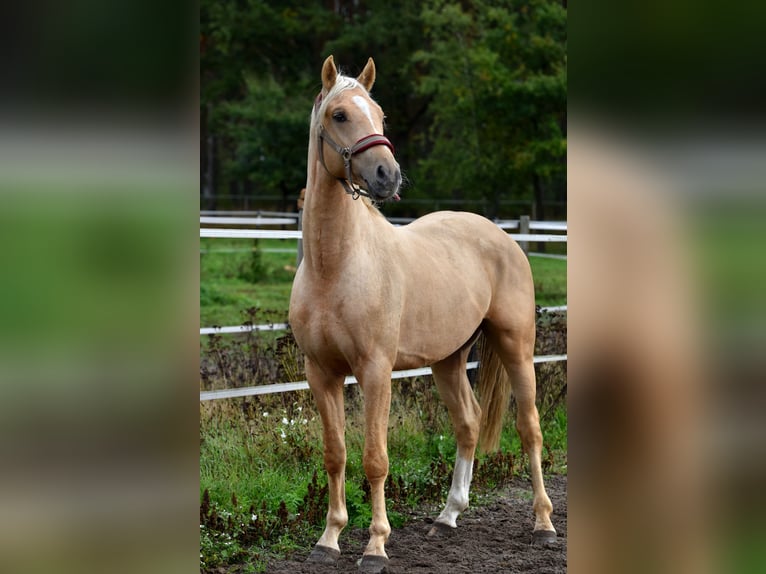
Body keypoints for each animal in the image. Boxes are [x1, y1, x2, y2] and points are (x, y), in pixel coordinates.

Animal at [290, 56, 560, 572]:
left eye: (379, 114)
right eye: (339, 114)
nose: (387, 175)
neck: (334, 265)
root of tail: (502, 237)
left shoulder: (375, 371)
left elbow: (375, 458)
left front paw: (375, 546)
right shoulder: (321, 372)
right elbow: (335, 454)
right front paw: (328, 539)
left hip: (515, 346)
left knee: (529, 429)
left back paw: (543, 524)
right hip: (448, 359)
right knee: (468, 422)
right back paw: (448, 516)